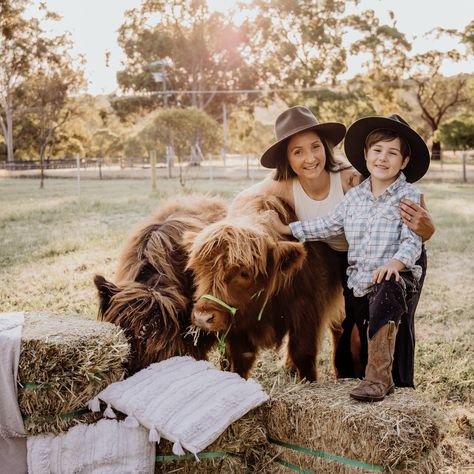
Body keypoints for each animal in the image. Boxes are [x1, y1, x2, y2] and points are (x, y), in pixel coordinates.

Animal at [186, 193, 344, 382]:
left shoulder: (307, 310)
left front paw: (309, 380)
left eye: (245, 273)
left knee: (338, 328)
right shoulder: (239, 324)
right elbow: (240, 358)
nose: (203, 317)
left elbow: (303, 352)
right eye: (199, 269)